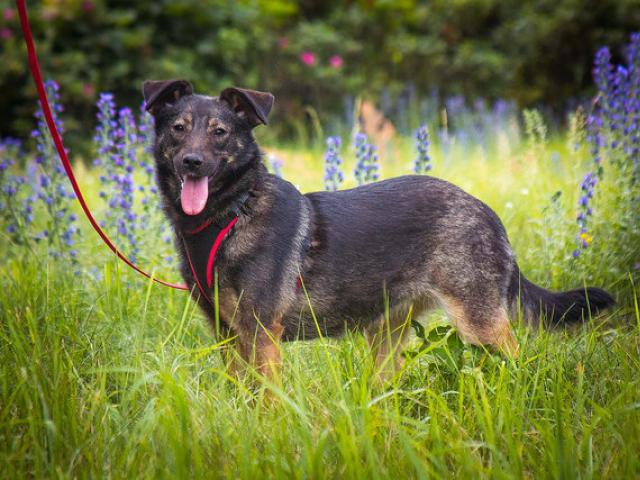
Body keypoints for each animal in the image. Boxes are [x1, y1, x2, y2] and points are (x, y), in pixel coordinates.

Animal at [141, 79, 616, 382]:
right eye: (178, 129)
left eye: (220, 133)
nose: (192, 163)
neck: (232, 212)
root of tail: (486, 210)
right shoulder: (226, 334)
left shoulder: (261, 333)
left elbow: (267, 402)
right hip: (386, 336)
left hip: (481, 325)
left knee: (517, 361)